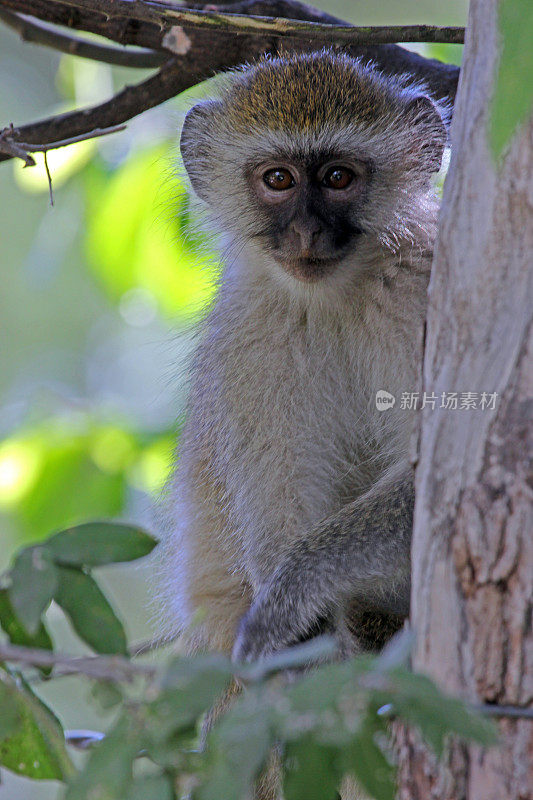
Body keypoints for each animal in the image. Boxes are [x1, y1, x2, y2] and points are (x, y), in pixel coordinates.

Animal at [157, 53, 444, 796]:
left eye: (338, 177)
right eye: (278, 179)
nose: (308, 233)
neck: (334, 298)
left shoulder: (419, 283)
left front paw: (294, 591)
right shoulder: (252, 345)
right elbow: (279, 519)